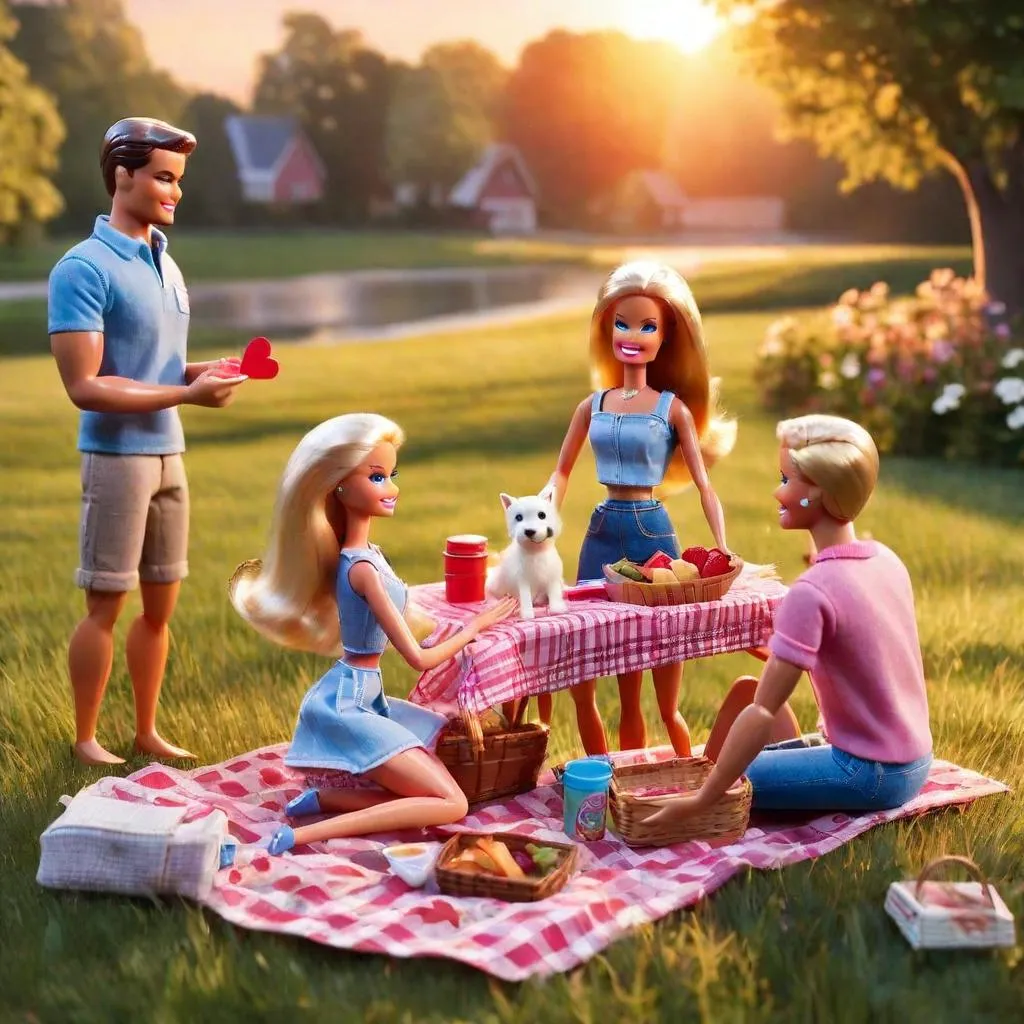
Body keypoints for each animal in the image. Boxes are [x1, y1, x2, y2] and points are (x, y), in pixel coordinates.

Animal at [485, 485, 569, 618]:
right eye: (518, 517)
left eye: (542, 515)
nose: (529, 531)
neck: (536, 551)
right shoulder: (522, 580)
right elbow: (525, 597)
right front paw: (527, 615)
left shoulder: (552, 577)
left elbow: (554, 594)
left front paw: (558, 609)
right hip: (497, 583)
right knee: (490, 591)